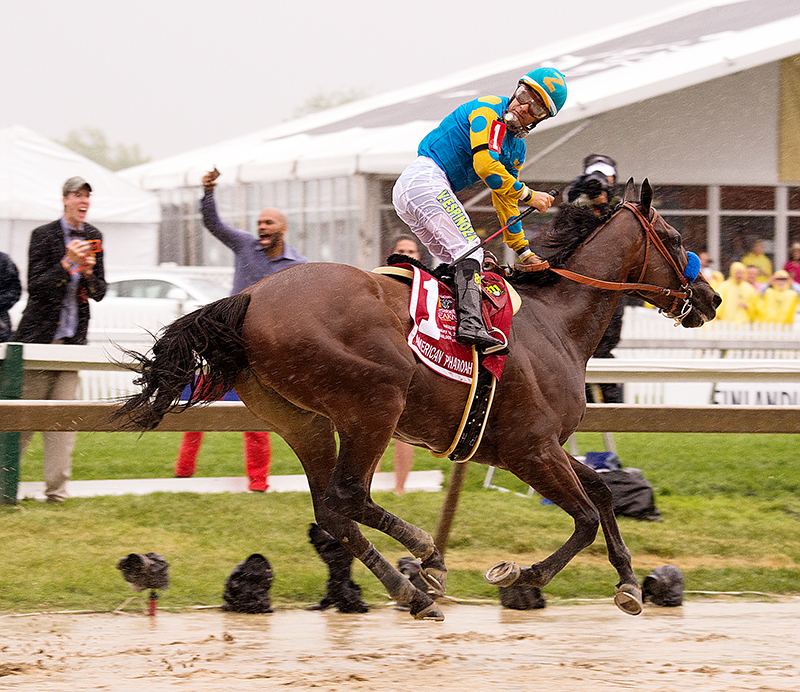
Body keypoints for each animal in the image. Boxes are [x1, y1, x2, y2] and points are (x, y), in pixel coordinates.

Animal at [117, 177, 720, 616]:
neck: (558, 322)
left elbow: (601, 491)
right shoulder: (530, 448)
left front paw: (629, 583)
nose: (711, 298)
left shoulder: (535, 445)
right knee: (347, 497)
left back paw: (414, 588)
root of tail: (250, 296)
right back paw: (426, 559)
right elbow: (587, 515)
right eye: (676, 239)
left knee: (332, 510)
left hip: (302, 420)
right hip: (374, 404)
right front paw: (520, 574)